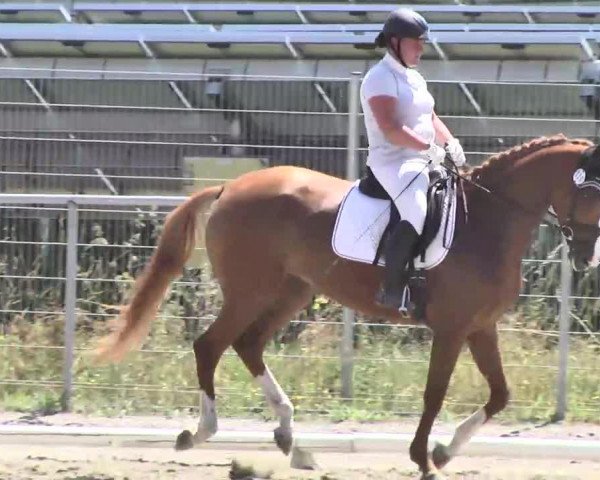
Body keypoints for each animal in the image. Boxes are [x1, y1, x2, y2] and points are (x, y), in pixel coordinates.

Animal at [96, 136, 596, 480]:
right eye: (593, 193)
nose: (587, 259)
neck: (487, 221)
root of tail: (229, 186)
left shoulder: (480, 327)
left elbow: (500, 395)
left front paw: (443, 452)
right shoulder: (452, 329)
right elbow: (435, 393)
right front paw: (423, 457)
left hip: (291, 291)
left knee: (248, 345)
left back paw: (291, 441)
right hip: (250, 291)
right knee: (210, 346)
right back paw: (202, 431)